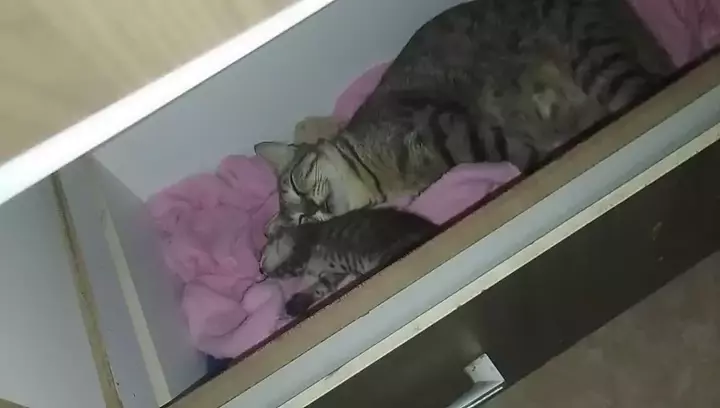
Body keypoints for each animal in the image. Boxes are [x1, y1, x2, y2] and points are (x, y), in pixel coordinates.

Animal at [255, 0, 673, 233]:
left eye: (296, 184)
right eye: (301, 221)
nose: (311, 208)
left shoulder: (453, 129)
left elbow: (523, 153)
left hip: (596, 58)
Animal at [260, 207, 438, 316]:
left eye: (261, 256)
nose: (261, 270)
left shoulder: (301, 254)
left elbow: (285, 269)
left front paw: (272, 274)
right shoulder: (334, 273)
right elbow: (321, 287)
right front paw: (299, 303)